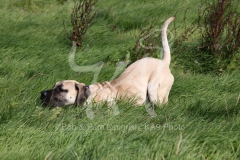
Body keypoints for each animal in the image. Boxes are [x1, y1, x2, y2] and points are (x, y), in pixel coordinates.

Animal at [39, 16, 174, 107]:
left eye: (61, 89)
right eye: (54, 86)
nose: (42, 93)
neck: (91, 95)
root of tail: (164, 62)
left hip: (155, 93)